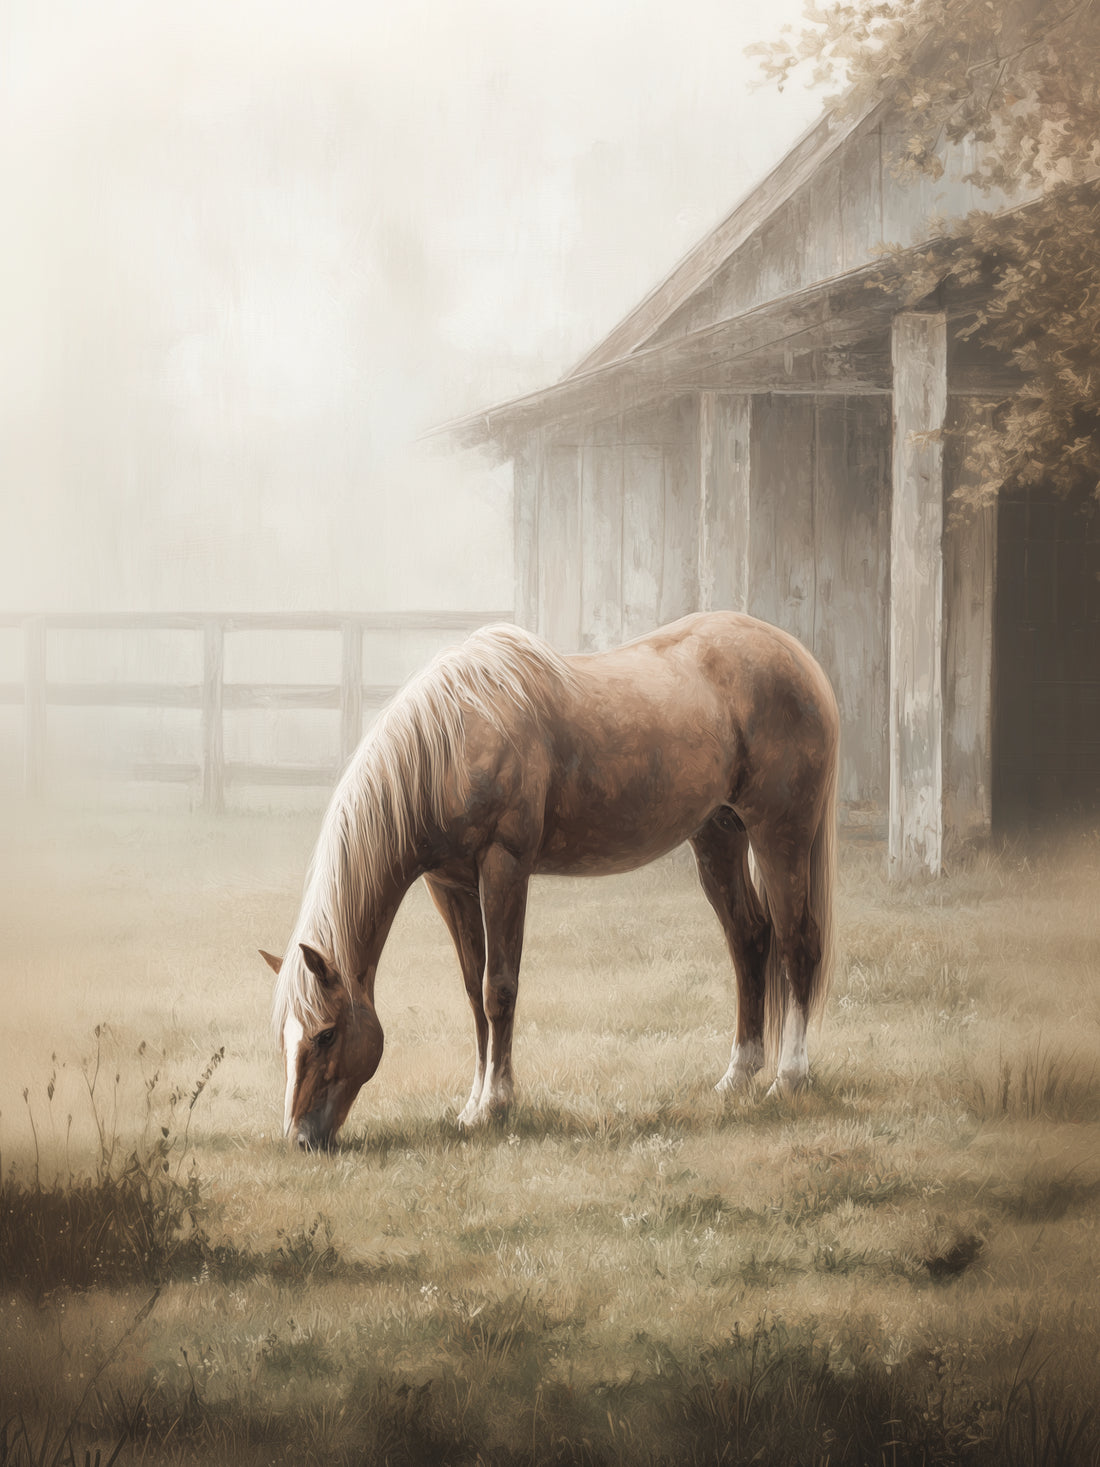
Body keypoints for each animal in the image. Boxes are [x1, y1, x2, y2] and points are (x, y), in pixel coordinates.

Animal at [264, 611, 839, 1150]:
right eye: (284, 1040)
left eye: (325, 1034)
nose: (300, 1139)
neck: (453, 745)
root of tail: (799, 658)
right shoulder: (450, 886)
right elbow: (473, 991)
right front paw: (472, 1104)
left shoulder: (504, 868)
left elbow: (499, 988)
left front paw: (495, 1106)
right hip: (717, 836)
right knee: (750, 940)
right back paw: (738, 1076)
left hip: (780, 834)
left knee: (797, 944)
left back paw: (789, 1078)